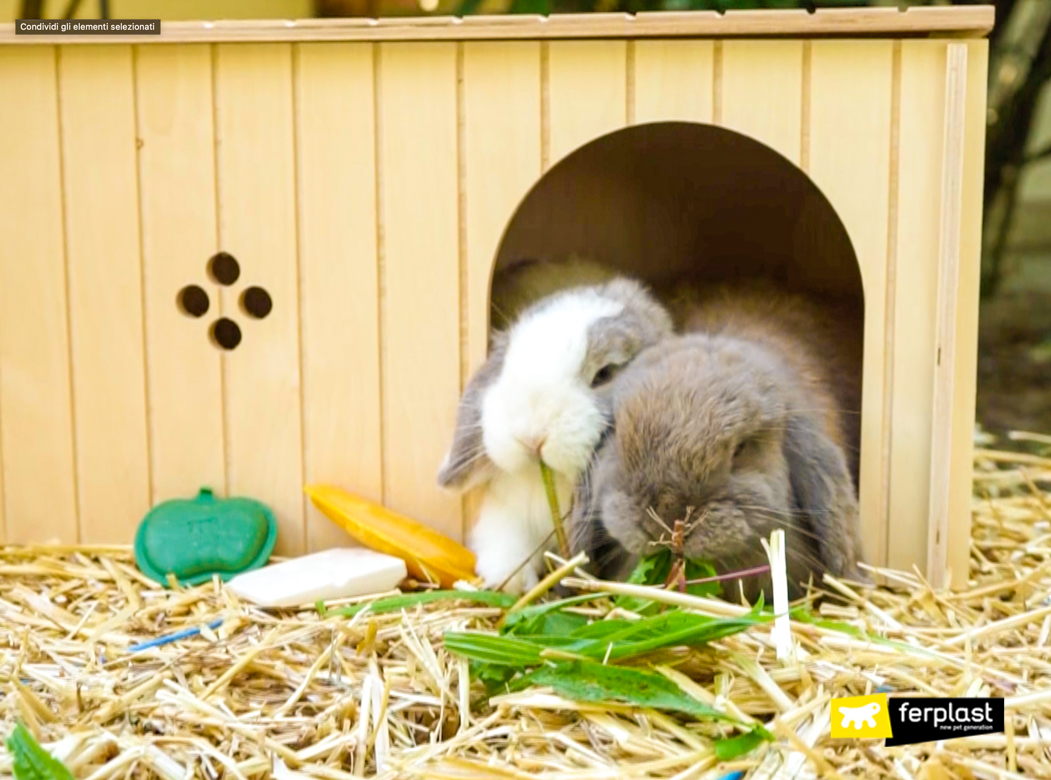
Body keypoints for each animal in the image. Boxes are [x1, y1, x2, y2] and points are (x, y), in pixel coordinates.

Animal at [435, 273, 672, 592]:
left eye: (604, 374)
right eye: (508, 359)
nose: (531, 436)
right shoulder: (505, 508)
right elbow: (507, 547)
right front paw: (513, 583)